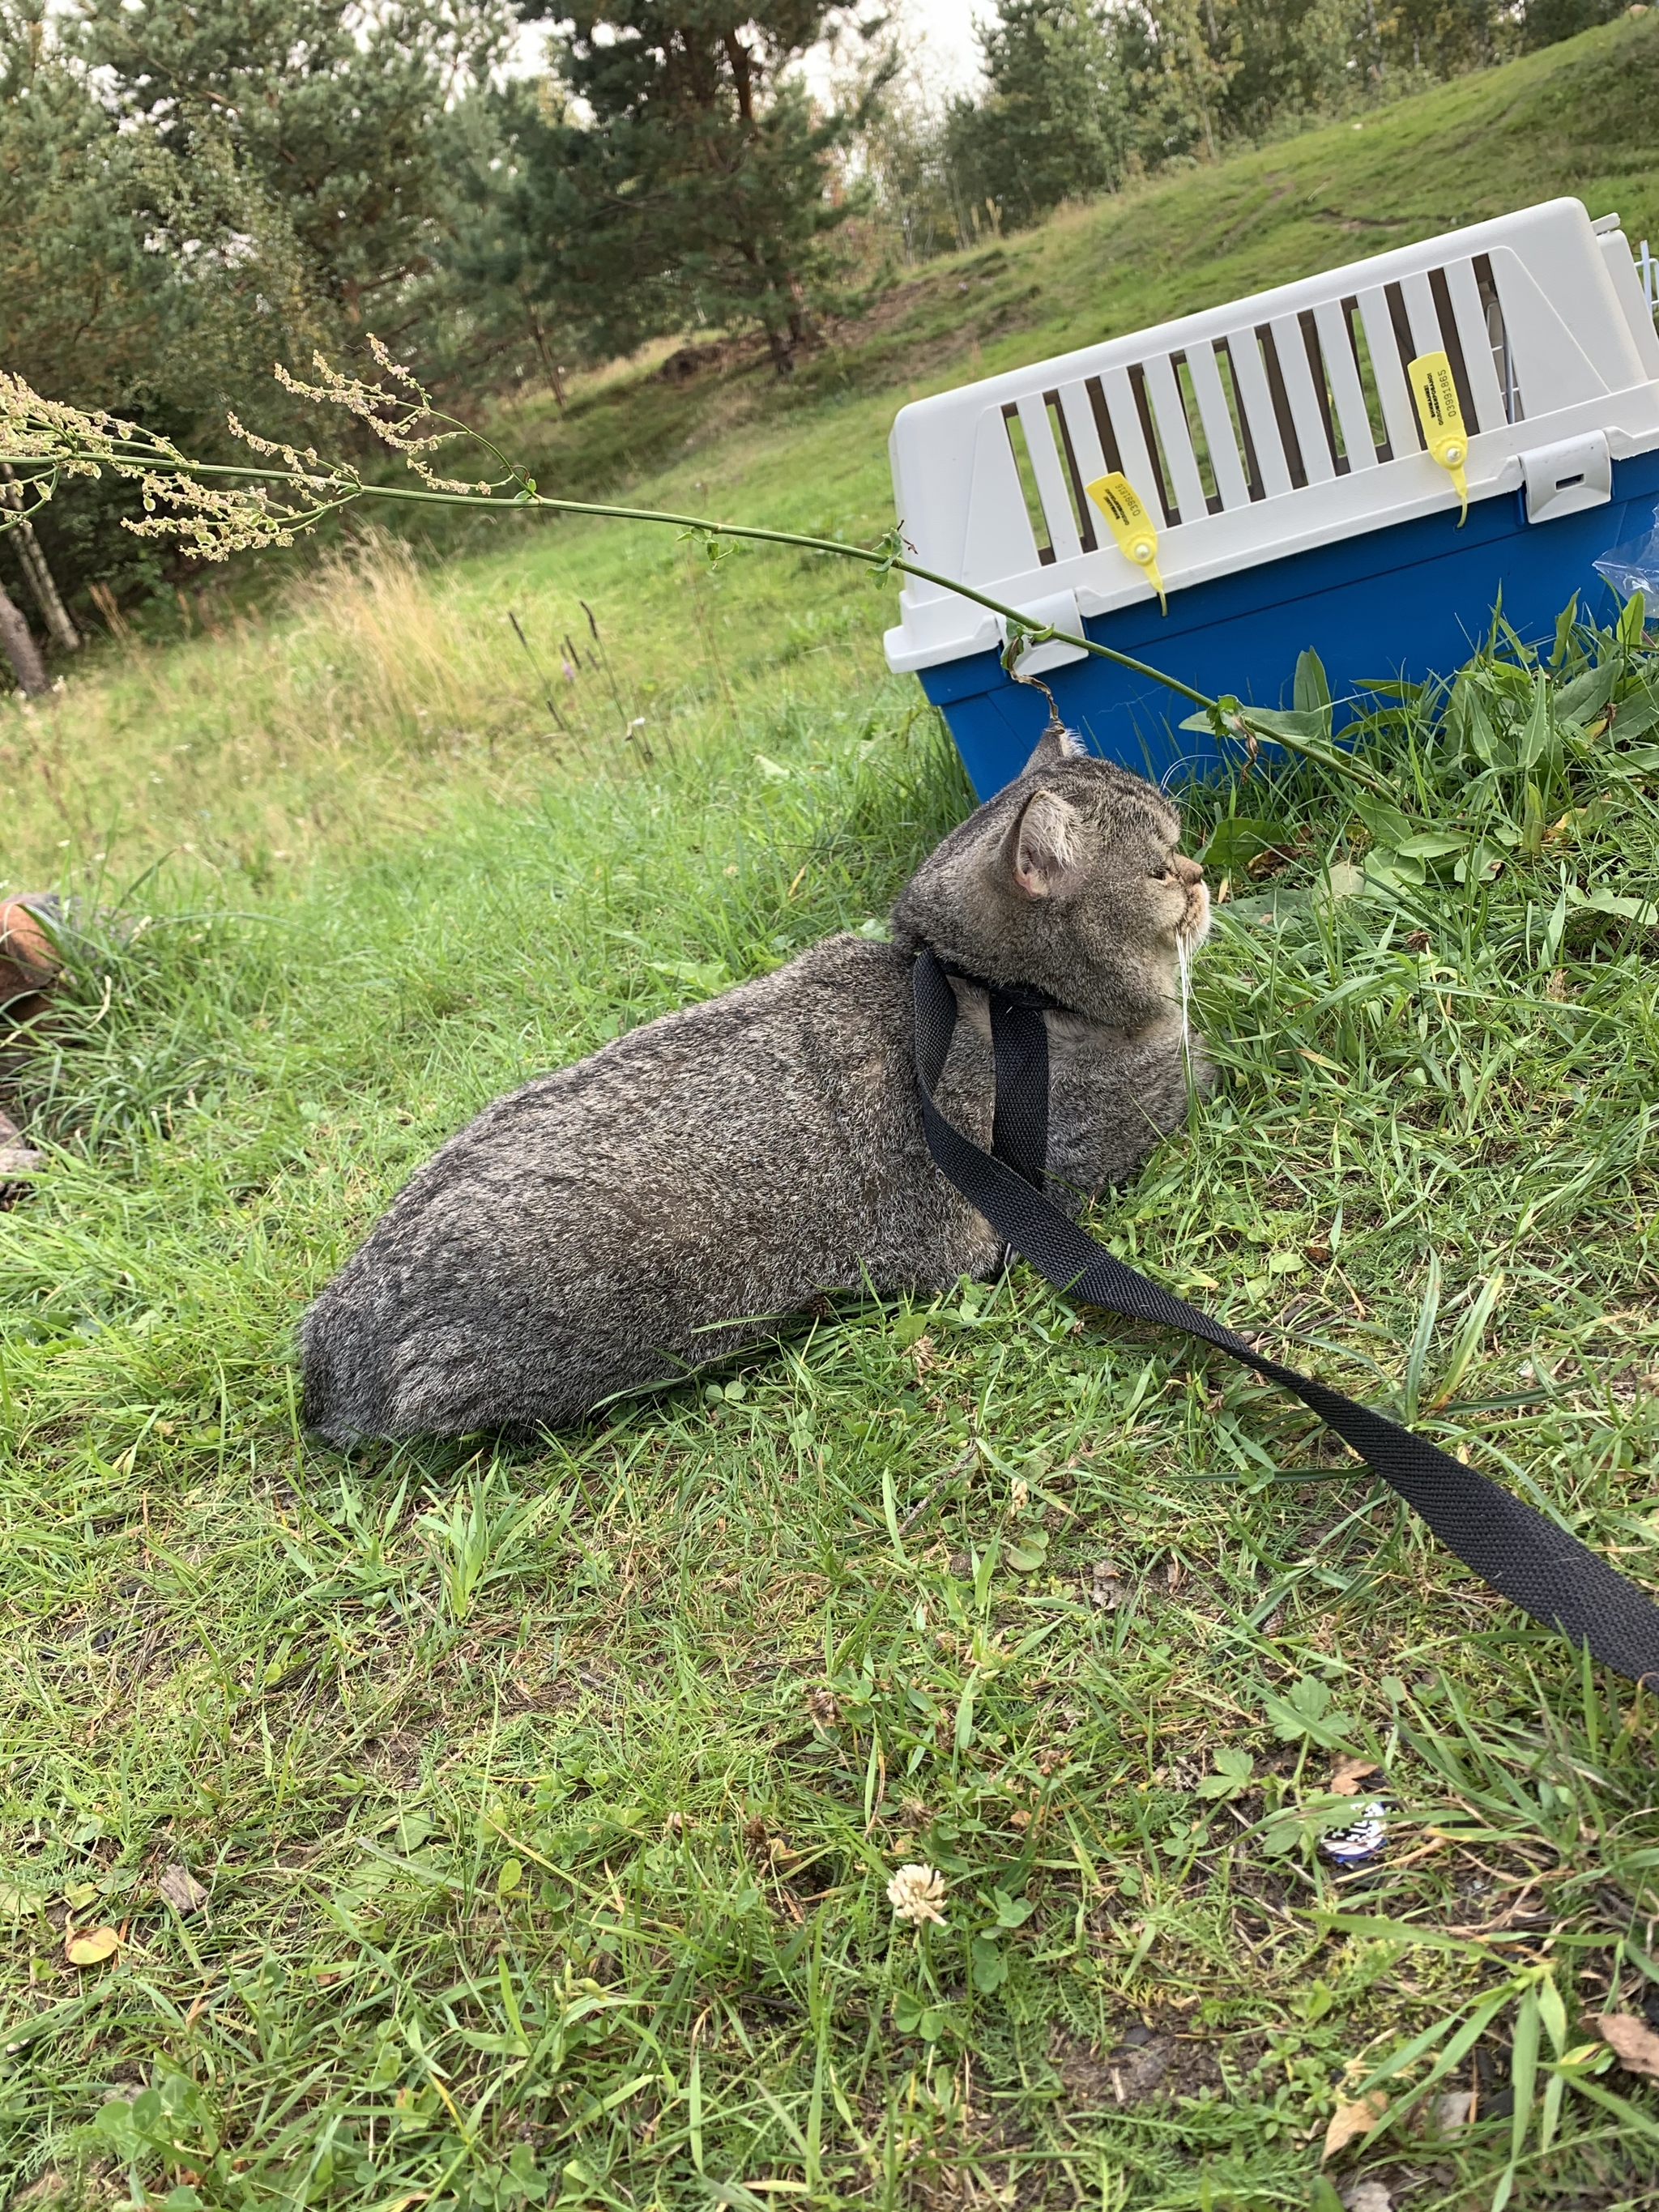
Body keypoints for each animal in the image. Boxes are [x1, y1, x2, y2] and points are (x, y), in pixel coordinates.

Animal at [303, 725, 1212, 1442]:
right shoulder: (1106, 1139)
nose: (1200, 872)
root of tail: (328, 1346)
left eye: (1178, 845)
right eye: (1156, 871)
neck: (990, 994)